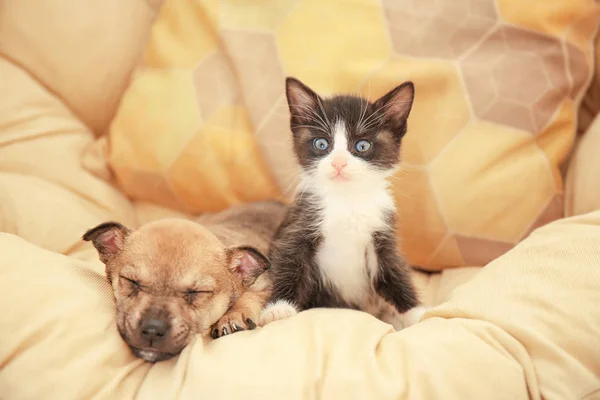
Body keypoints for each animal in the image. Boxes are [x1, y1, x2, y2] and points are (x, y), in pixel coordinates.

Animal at [82, 202, 286, 360]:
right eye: (130, 281)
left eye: (198, 292)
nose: (153, 329)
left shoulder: (264, 286)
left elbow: (248, 296)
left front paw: (232, 316)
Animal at [260, 76, 424, 330]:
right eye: (321, 144)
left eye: (362, 146)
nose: (338, 163)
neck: (347, 200)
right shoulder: (299, 225)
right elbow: (288, 262)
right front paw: (278, 308)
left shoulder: (382, 234)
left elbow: (394, 271)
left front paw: (416, 313)